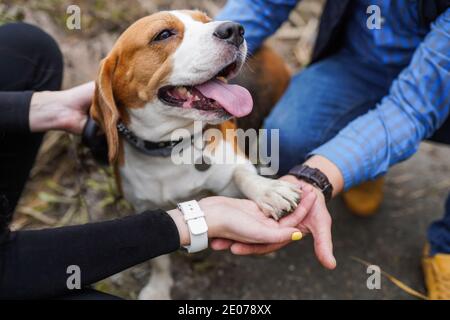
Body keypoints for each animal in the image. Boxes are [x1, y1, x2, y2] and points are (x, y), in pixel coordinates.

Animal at [89, 10, 298, 300]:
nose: (235, 30)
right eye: (163, 34)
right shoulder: (145, 208)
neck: (169, 149)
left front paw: (269, 191)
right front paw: (158, 287)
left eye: (206, 20)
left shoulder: (230, 175)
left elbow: (244, 175)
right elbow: (159, 259)